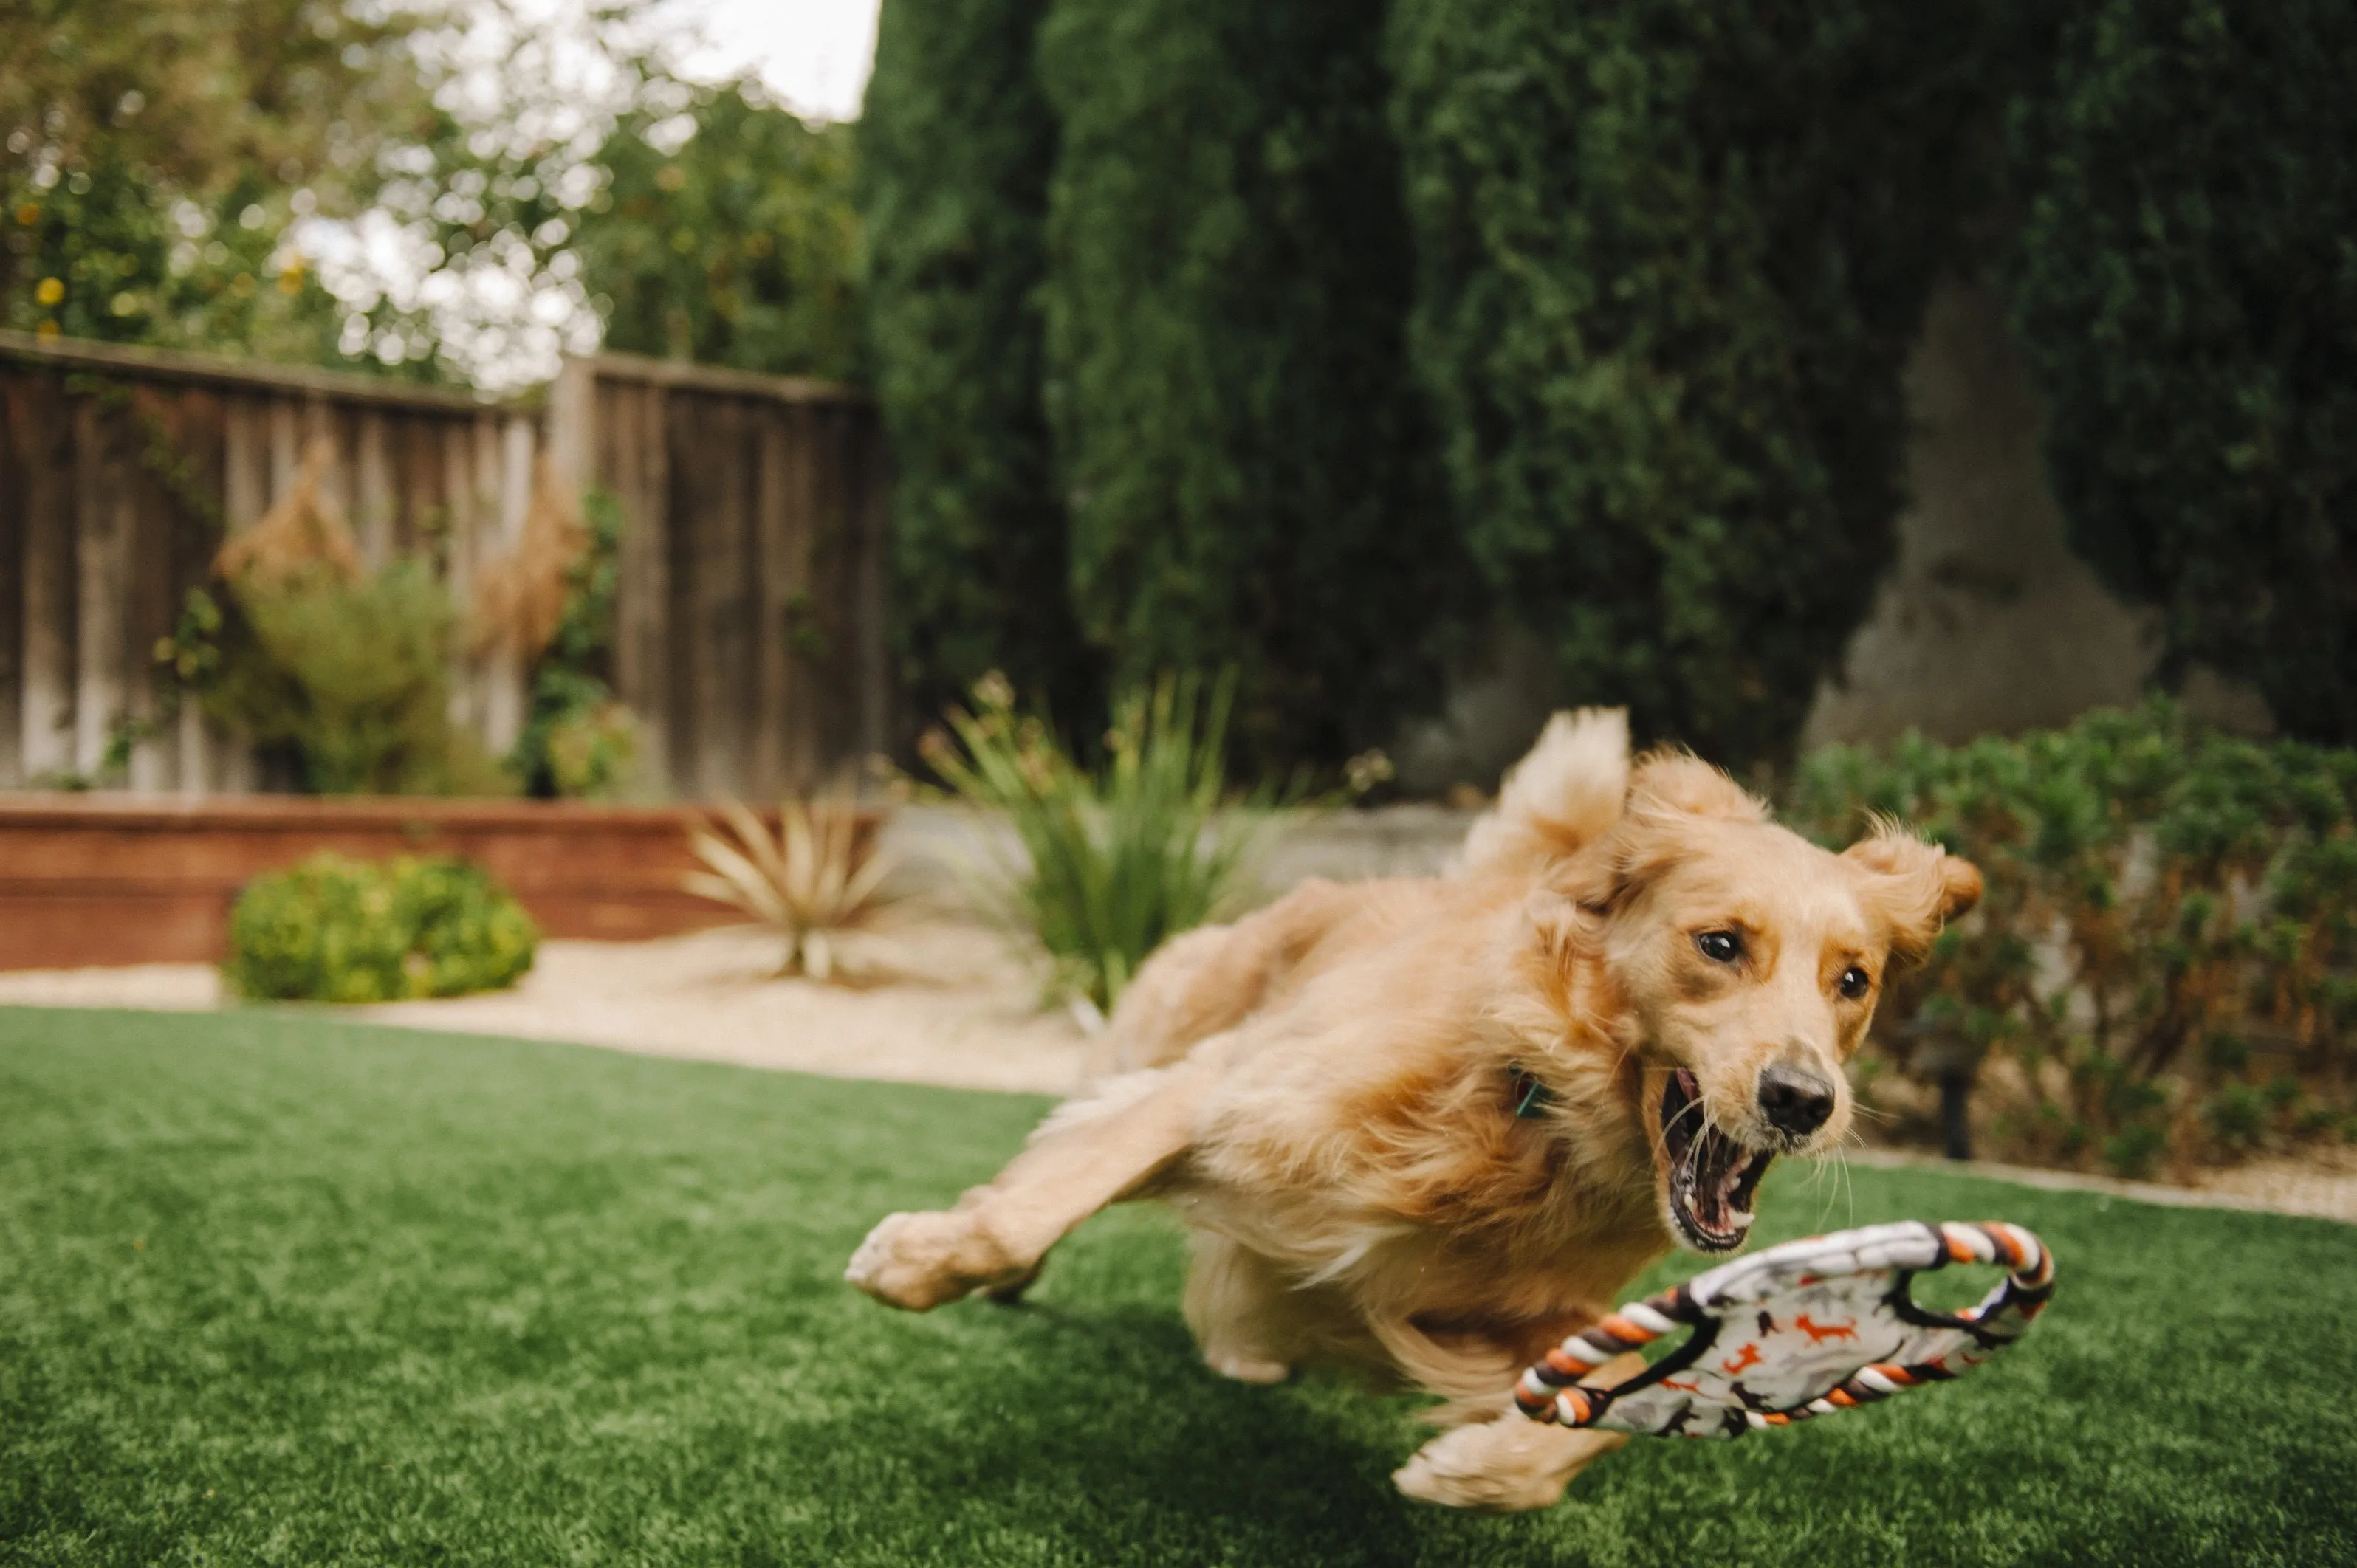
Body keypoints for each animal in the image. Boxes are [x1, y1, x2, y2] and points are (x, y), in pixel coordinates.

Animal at [839, 707, 1980, 1509]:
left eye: (1854, 981)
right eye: (1720, 944)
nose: (1803, 1100)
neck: (1525, 1108)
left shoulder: (1511, 1313)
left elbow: (1606, 1401)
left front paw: (1479, 1471)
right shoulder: (1223, 1091)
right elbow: (1032, 1206)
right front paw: (918, 1263)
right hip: (1157, 1034)